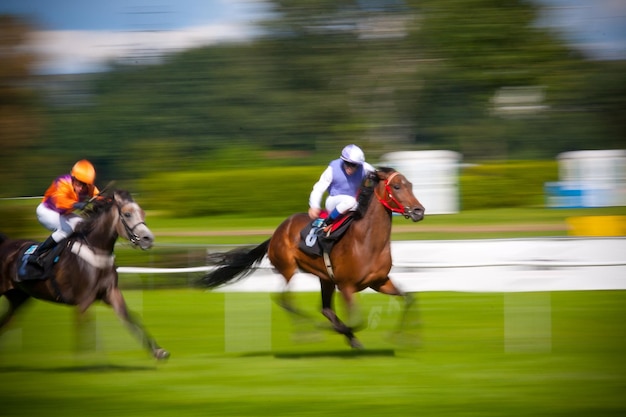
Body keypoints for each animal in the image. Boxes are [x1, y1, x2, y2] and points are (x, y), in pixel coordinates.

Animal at [0, 190, 168, 360]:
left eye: (143, 213)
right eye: (127, 214)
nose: (148, 239)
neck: (96, 250)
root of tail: (5, 242)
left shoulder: (111, 292)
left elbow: (131, 318)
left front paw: (158, 351)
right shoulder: (83, 300)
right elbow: (85, 330)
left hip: (18, 297)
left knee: (5, 321)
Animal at [200, 167, 424, 346]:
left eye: (411, 185)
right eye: (396, 186)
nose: (419, 211)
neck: (367, 241)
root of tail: (276, 232)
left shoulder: (379, 281)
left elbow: (409, 298)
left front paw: (403, 337)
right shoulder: (347, 287)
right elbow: (358, 321)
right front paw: (341, 331)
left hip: (325, 278)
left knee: (324, 309)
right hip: (288, 268)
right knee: (285, 300)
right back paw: (308, 332)